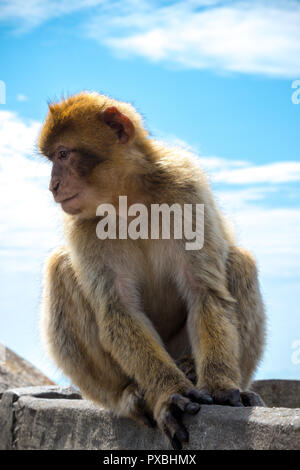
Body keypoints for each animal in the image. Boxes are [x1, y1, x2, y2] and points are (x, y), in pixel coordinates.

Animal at [38, 91, 264, 448]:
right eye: (52, 159)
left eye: (63, 154)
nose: (53, 185)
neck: (128, 200)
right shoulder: (82, 225)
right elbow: (119, 309)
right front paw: (168, 394)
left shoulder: (185, 188)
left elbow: (204, 291)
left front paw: (222, 388)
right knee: (59, 269)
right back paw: (132, 396)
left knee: (241, 262)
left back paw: (194, 372)